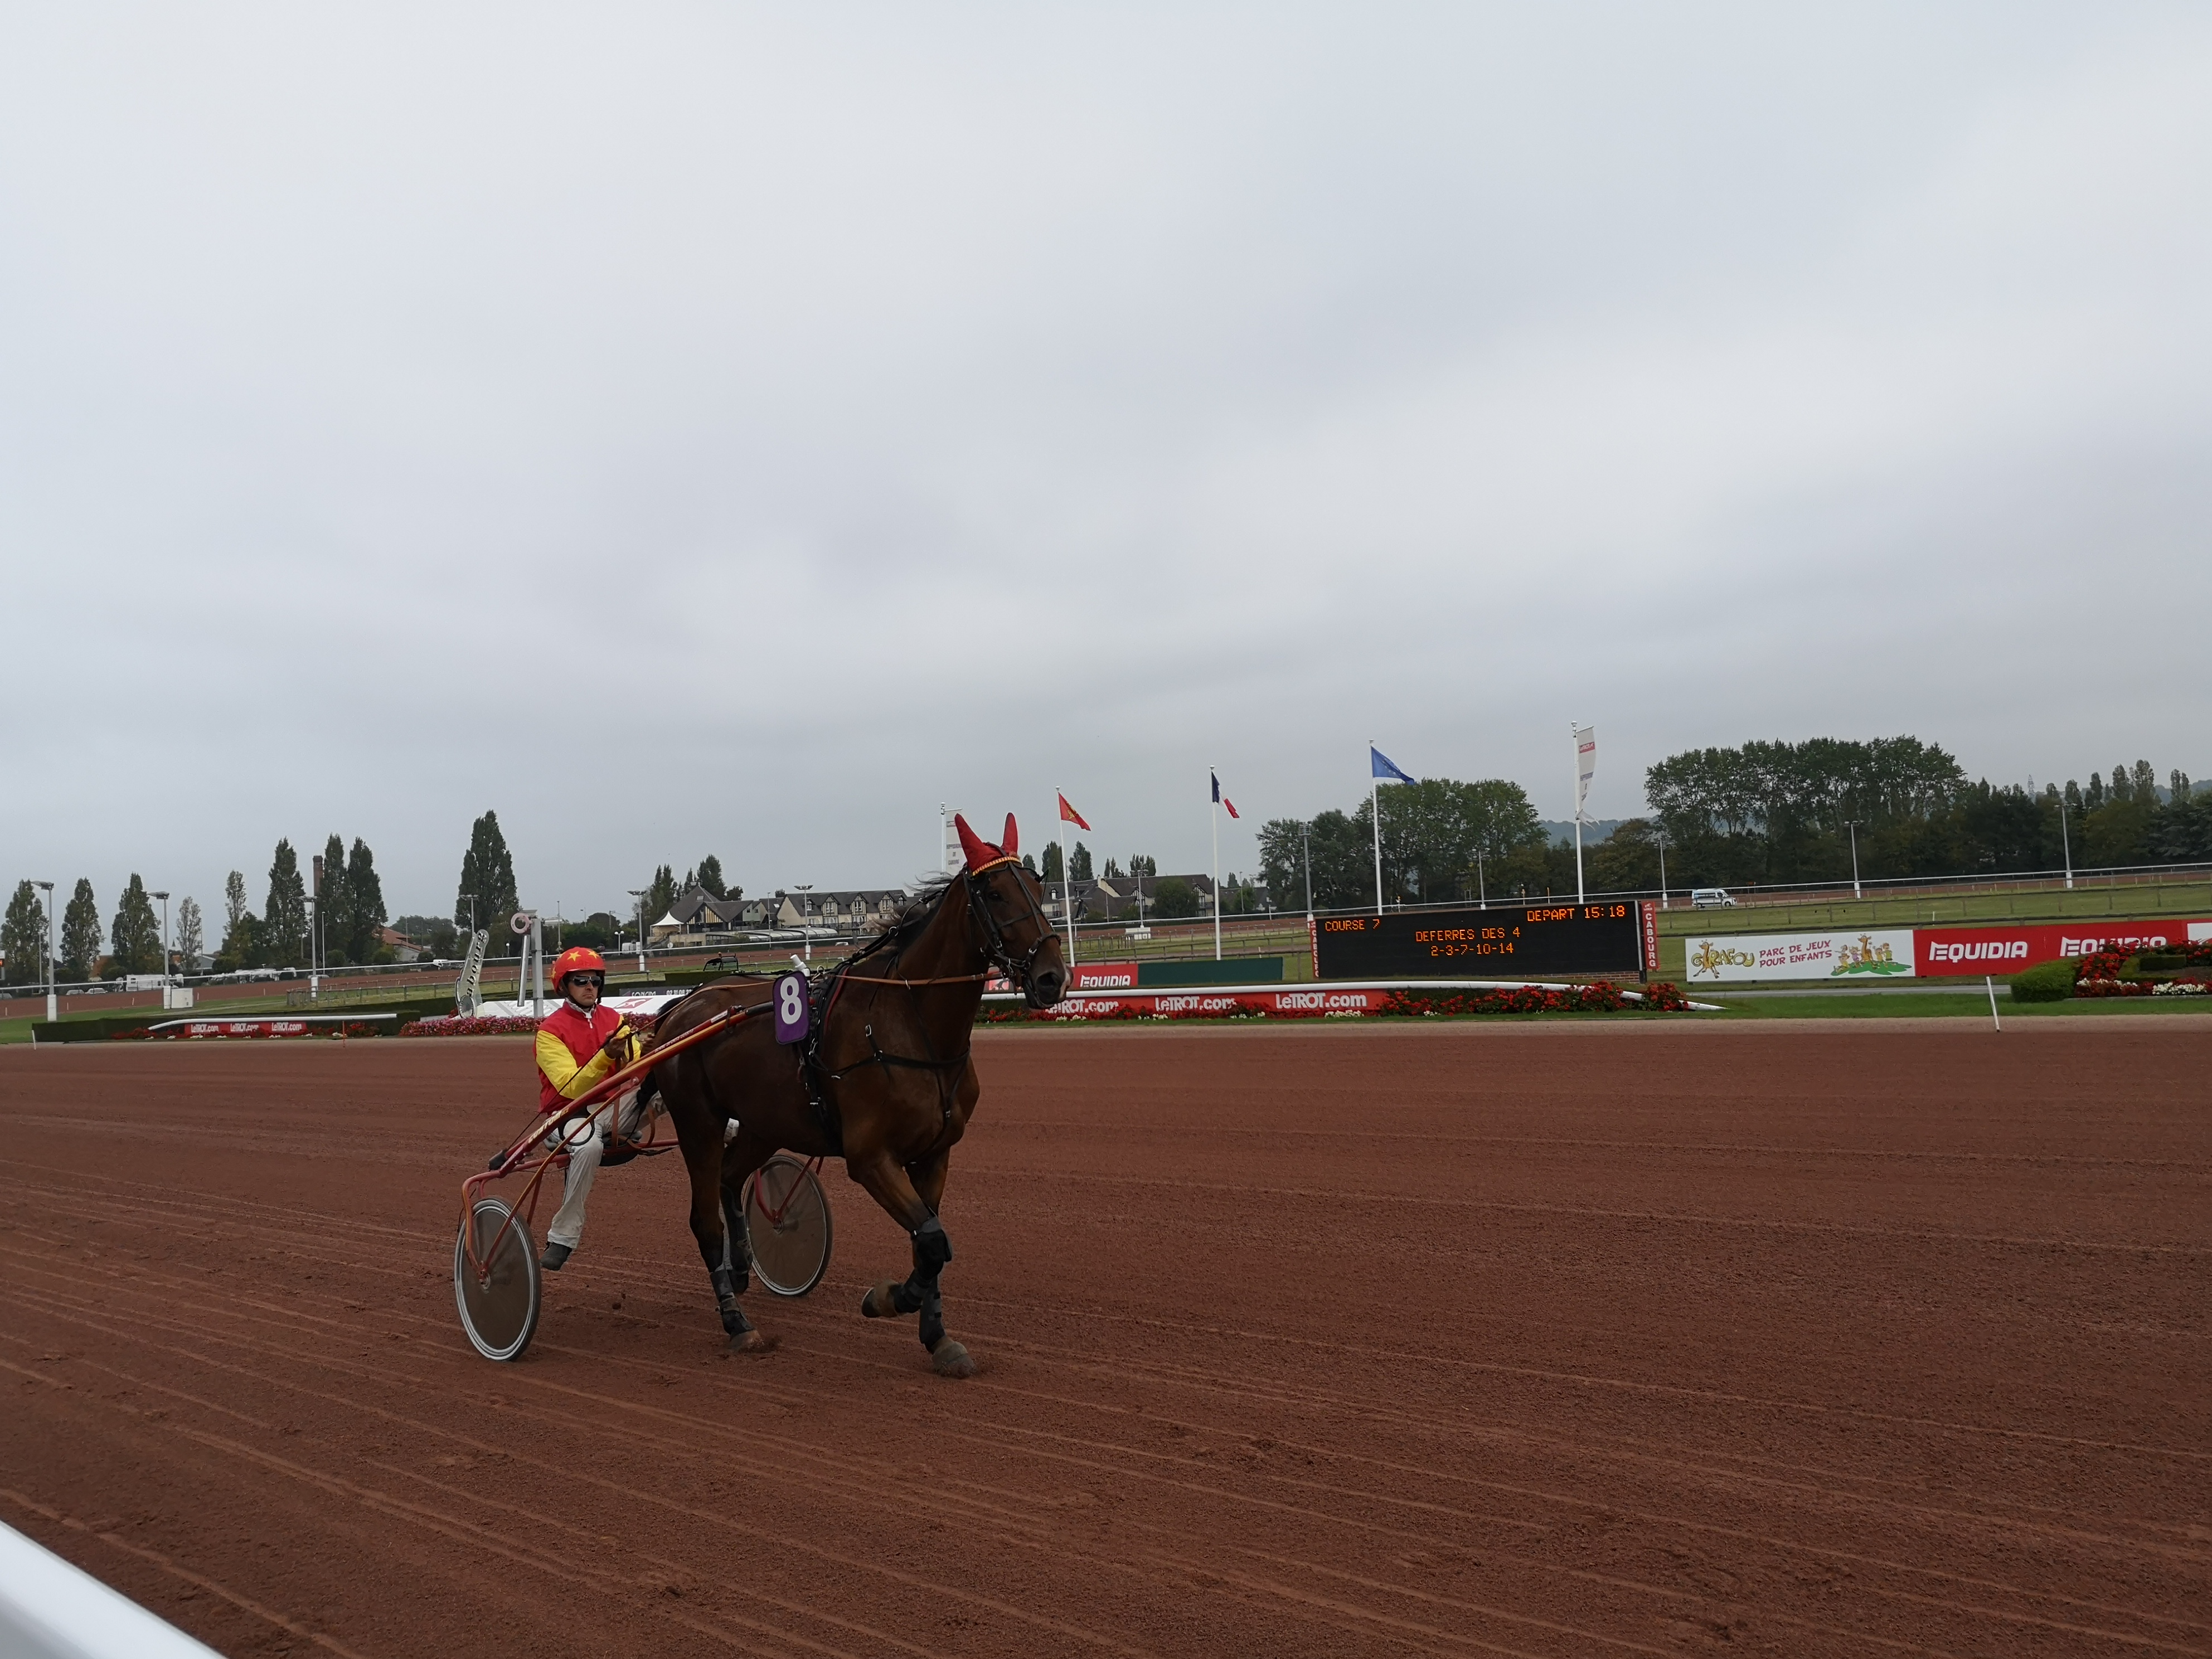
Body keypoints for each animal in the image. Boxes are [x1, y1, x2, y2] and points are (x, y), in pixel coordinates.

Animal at [643, 813, 1066, 1376]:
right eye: (995, 893)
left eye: (1040, 890)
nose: (1052, 977)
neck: (908, 1026)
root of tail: (681, 1008)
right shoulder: (871, 1157)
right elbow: (934, 1243)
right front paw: (886, 1299)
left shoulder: (935, 1154)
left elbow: (929, 1241)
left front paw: (938, 1338)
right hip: (699, 1125)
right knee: (704, 1220)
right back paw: (736, 1323)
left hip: (763, 1122)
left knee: (732, 1178)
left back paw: (741, 1269)